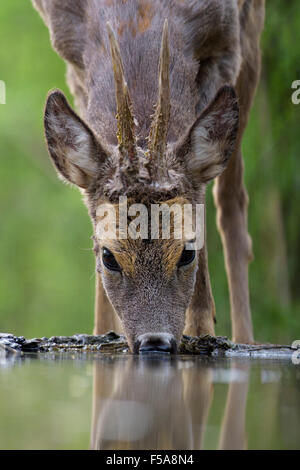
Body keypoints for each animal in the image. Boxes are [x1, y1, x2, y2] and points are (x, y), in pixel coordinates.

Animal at [32, 0, 264, 352]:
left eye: (187, 252)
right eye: (109, 257)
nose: (155, 341)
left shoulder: (228, 44)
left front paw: (201, 330)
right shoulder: (71, 58)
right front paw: (101, 333)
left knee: (231, 197)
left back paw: (245, 340)